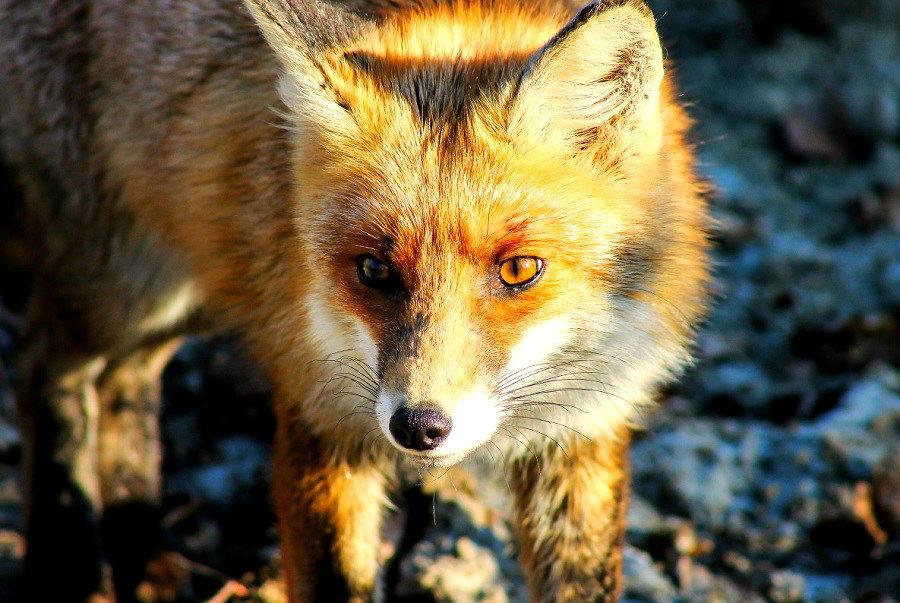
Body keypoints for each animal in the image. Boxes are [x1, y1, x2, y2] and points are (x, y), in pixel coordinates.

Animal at [0, 0, 710, 601]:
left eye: (519, 269)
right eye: (373, 269)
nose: (418, 427)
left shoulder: (584, 431)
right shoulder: (319, 409)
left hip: (195, 282)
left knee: (124, 382)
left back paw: (143, 551)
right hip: (123, 288)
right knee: (45, 367)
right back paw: (68, 565)